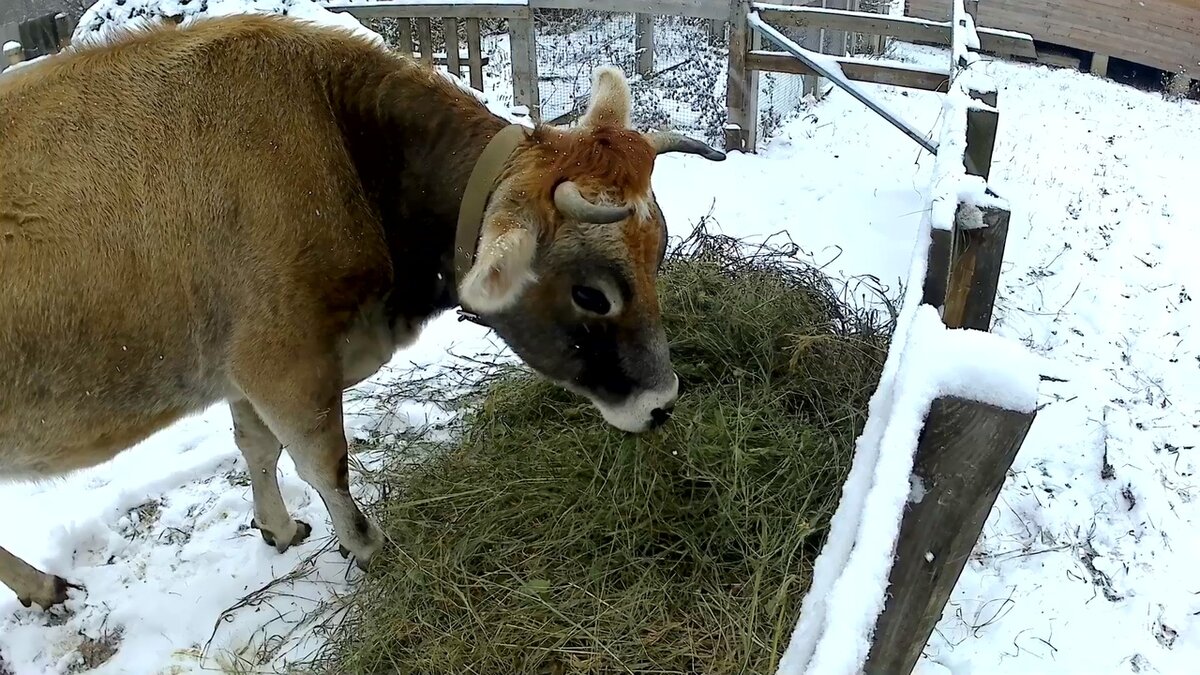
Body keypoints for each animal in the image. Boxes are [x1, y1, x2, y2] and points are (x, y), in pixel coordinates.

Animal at [0, 13, 724, 607]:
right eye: (591, 294)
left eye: (660, 252)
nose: (662, 402)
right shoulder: (282, 362)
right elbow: (325, 462)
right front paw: (370, 547)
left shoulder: (244, 369)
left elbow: (255, 445)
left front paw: (278, 526)